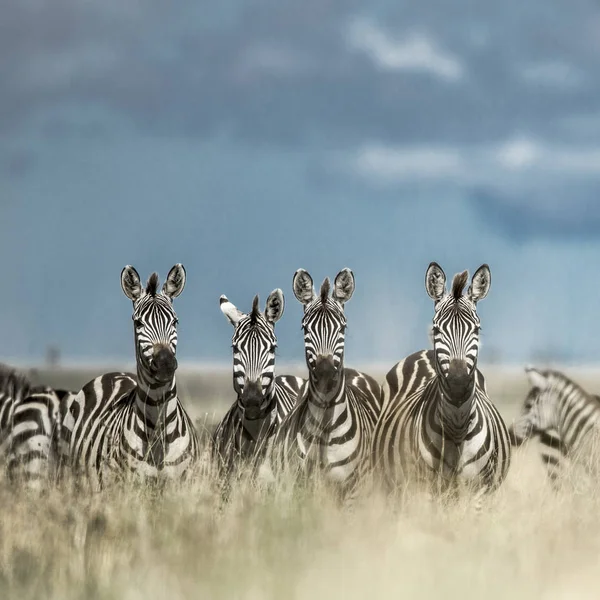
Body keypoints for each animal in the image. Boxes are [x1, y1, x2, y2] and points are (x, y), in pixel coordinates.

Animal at [59, 262, 200, 488]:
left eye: (175, 322)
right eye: (138, 323)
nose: (165, 364)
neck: (158, 430)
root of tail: (114, 374)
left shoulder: (183, 484)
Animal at [372, 262, 508, 502]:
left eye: (477, 329)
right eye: (436, 329)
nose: (458, 383)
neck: (457, 428)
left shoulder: (479, 490)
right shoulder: (425, 488)